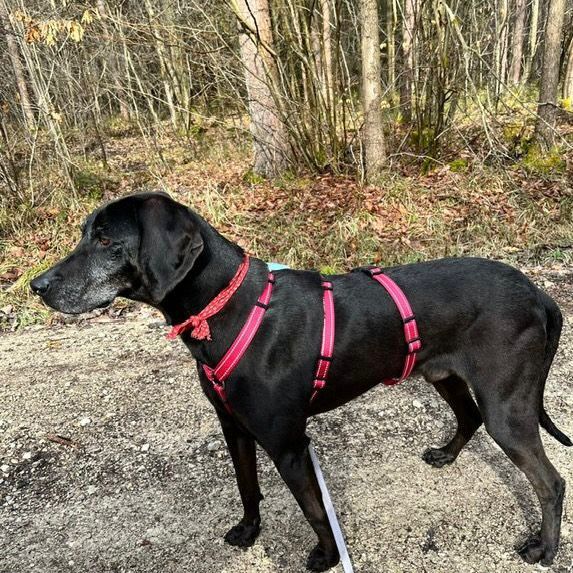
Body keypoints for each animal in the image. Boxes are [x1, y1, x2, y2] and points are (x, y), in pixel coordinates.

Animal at [31, 191, 571, 571]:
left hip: (507, 407)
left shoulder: (288, 442)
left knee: (550, 480)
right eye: (86, 233)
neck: (224, 309)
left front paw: (327, 558)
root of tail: (536, 292)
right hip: (445, 375)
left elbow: (315, 510)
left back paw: (543, 548)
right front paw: (249, 532)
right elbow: (247, 487)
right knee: (469, 416)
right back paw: (447, 454)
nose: (38, 286)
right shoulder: (234, 428)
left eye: (106, 240)